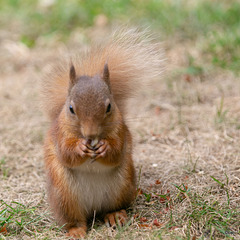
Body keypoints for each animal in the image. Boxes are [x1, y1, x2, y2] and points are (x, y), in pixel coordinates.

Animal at [41, 28, 162, 238]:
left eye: (109, 107)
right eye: (71, 109)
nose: (90, 135)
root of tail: (93, 208)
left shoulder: (121, 131)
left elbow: (117, 151)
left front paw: (105, 148)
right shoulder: (59, 135)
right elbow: (65, 153)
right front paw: (80, 148)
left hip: (122, 184)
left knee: (111, 208)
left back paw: (115, 215)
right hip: (64, 196)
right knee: (73, 219)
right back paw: (76, 230)